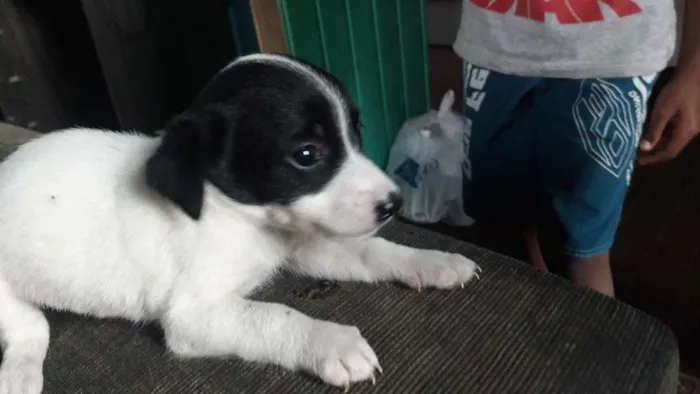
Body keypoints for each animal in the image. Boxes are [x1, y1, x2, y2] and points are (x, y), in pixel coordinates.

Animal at [0, 53, 478, 394]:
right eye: (306, 155)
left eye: (355, 132)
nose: (393, 204)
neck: (233, 212)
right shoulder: (193, 315)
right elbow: (275, 316)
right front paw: (331, 343)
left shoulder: (305, 244)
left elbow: (371, 250)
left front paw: (433, 261)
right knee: (31, 328)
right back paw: (20, 375)